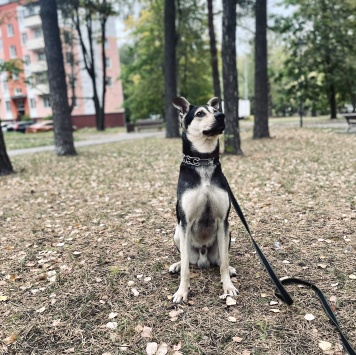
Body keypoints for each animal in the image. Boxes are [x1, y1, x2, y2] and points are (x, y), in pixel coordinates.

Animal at [169, 96, 238, 304]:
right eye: (200, 113)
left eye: (215, 110)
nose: (221, 115)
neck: (203, 161)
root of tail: (203, 258)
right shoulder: (185, 222)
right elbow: (185, 268)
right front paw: (182, 292)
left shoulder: (223, 221)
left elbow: (224, 263)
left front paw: (228, 287)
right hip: (177, 232)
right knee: (186, 260)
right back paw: (176, 265)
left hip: (228, 235)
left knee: (221, 260)